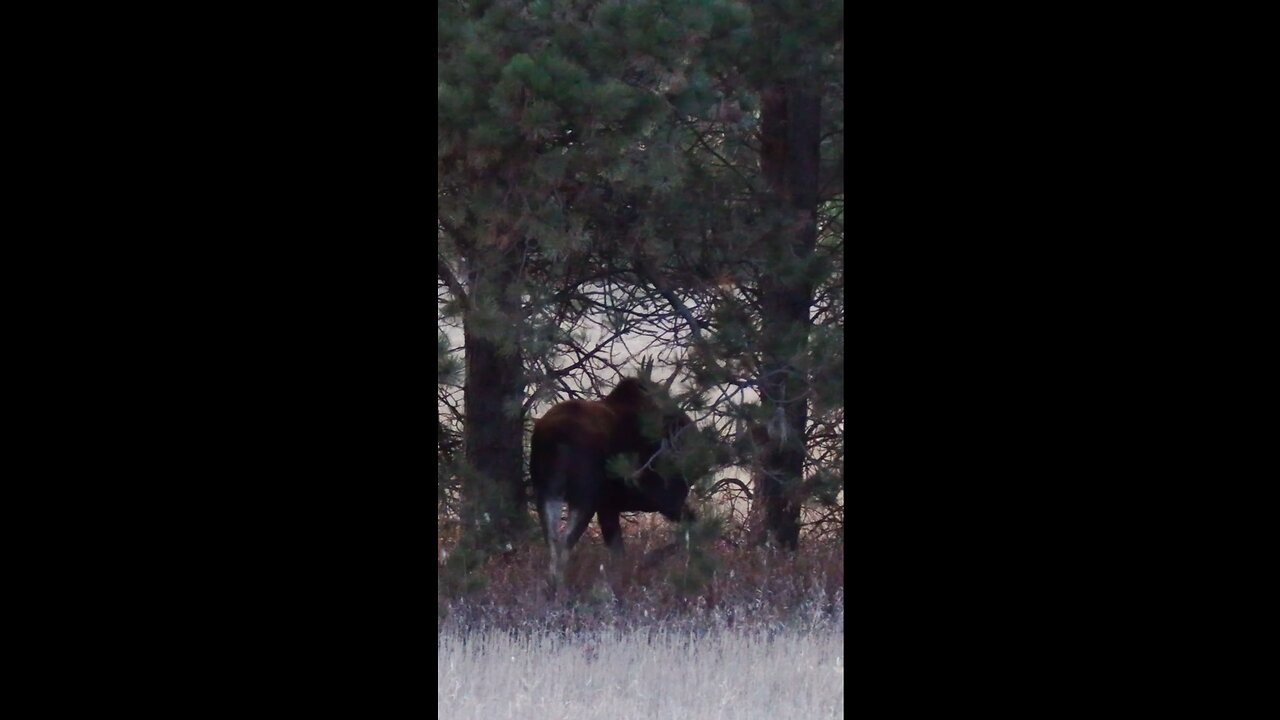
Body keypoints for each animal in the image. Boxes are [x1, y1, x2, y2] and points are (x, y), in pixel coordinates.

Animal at [535, 368, 706, 584]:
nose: (694, 434)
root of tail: (557, 438)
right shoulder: (664, 497)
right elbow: (692, 527)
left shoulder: (609, 506)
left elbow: (618, 552)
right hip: (584, 496)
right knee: (565, 541)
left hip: (547, 492)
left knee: (552, 538)